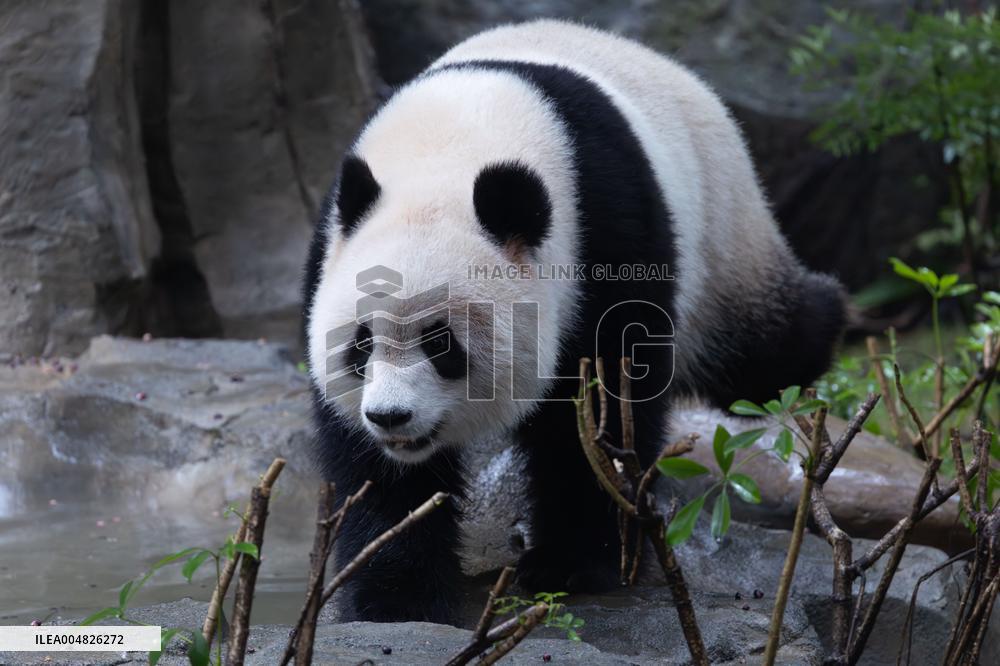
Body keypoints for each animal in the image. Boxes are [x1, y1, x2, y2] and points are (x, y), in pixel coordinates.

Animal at [303, 19, 845, 623]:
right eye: (361, 345)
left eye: (441, 343)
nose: (391, 417)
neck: (454, 145)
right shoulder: (331, 244)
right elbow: (370, 465)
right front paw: (397, 598)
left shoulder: (607, 227)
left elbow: (602, 401)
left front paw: (572, 564)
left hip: (722, 226)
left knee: (760, 343)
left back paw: (818, 339)